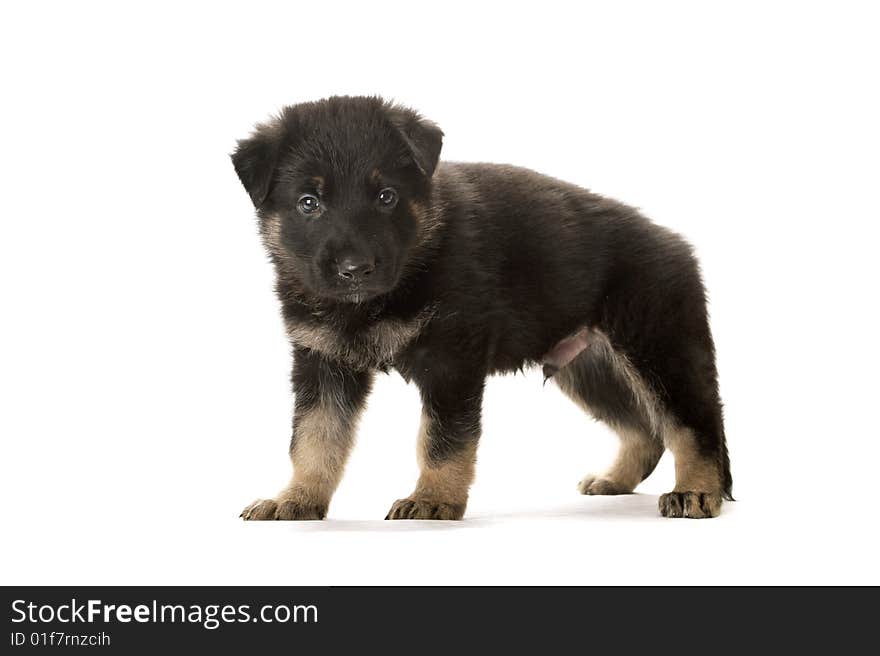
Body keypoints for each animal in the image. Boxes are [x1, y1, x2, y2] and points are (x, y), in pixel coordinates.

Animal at [232, 95, 728, 520]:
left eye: (386, 196)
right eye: (308, 203)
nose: (356, 270)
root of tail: (677, 245)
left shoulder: (451, 360)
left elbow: (442, 439)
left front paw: (433, 498)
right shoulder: (323, 363)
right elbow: (313, 438)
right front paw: (297, 499)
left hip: (658, 350)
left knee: (695, 423)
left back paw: (697, 491)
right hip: (590, 369)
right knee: (646, 430)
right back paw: (616, 479)